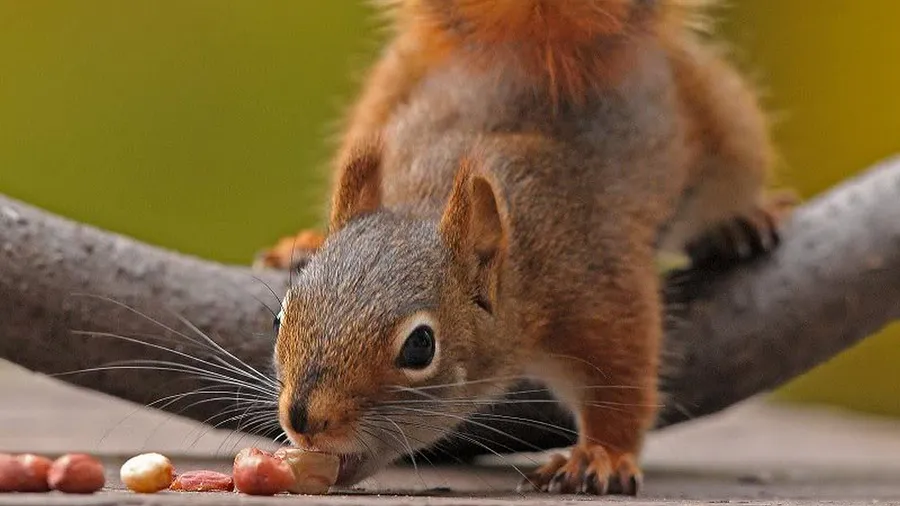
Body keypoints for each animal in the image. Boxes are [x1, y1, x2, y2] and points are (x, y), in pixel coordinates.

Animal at [256, 0, 796, 496]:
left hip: (727, 128)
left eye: (420, 346)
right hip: (387, 86)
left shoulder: (600, 286)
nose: (303, 419)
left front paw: (601, 456)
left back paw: (744, 221)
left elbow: (622, 382)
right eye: (280, 318)